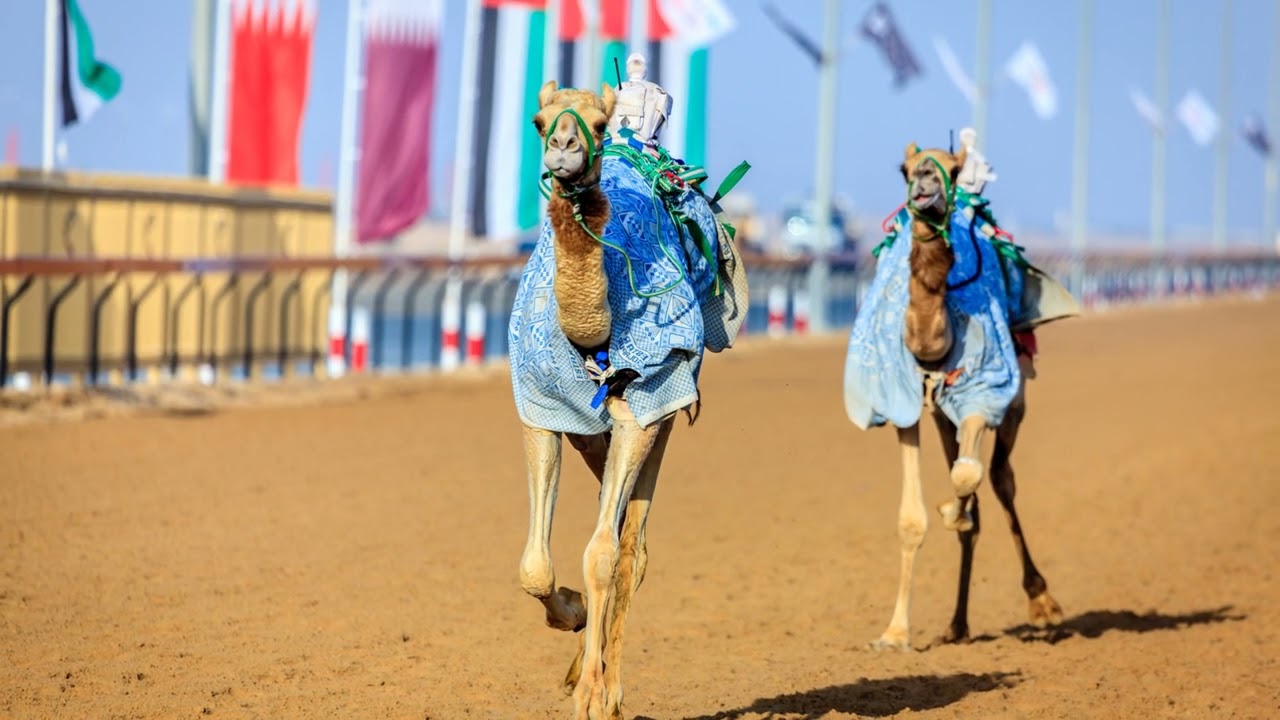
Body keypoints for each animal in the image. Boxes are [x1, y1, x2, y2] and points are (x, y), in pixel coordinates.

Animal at [508, 76, 747, 719]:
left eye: (598, 119)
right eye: (538, 119)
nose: (564, 147)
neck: (594, 335)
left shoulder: (645, 409)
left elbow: (603, 556)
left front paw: (594, 697)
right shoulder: (541, 412)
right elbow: (534, 566)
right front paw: (569, 613)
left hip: (660, 412)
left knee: (629, 547)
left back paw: (609, 687)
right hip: (592, 435)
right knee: (609, 524)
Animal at [844, 139, 1078, 651]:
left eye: (953, 170)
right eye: (904, 169)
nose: (924, 184)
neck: (934, 343)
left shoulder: (982, 396)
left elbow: (968, 475)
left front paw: (953, 510)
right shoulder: (905, 410)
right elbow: (912, 519)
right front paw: (894, 633)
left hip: (1013, 400)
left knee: (1000, 477)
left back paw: (1041, 600)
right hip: (941, 416)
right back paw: (957, 623)